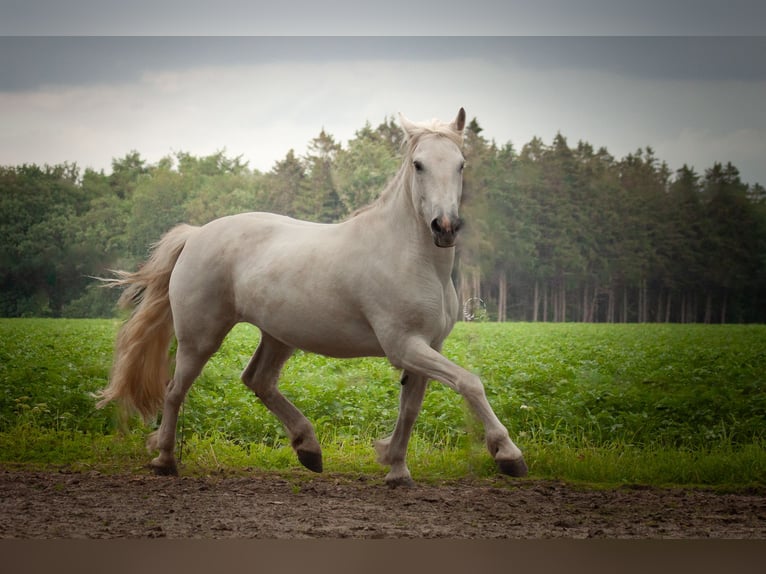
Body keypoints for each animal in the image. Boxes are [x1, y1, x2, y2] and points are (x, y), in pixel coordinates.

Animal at [96, 108, 528, 486]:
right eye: (419, 164)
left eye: (460, 164)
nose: (445, 227)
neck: (412, 258)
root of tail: (197, 234)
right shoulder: (404, 345)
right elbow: (470, 383)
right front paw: (508, 455)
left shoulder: (426, 347)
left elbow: (410, 410)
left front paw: (396, 469)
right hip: (200, 337)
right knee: (175, 391)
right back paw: (165, 460)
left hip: (278, 335)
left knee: (257, 380)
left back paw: (309, 448)